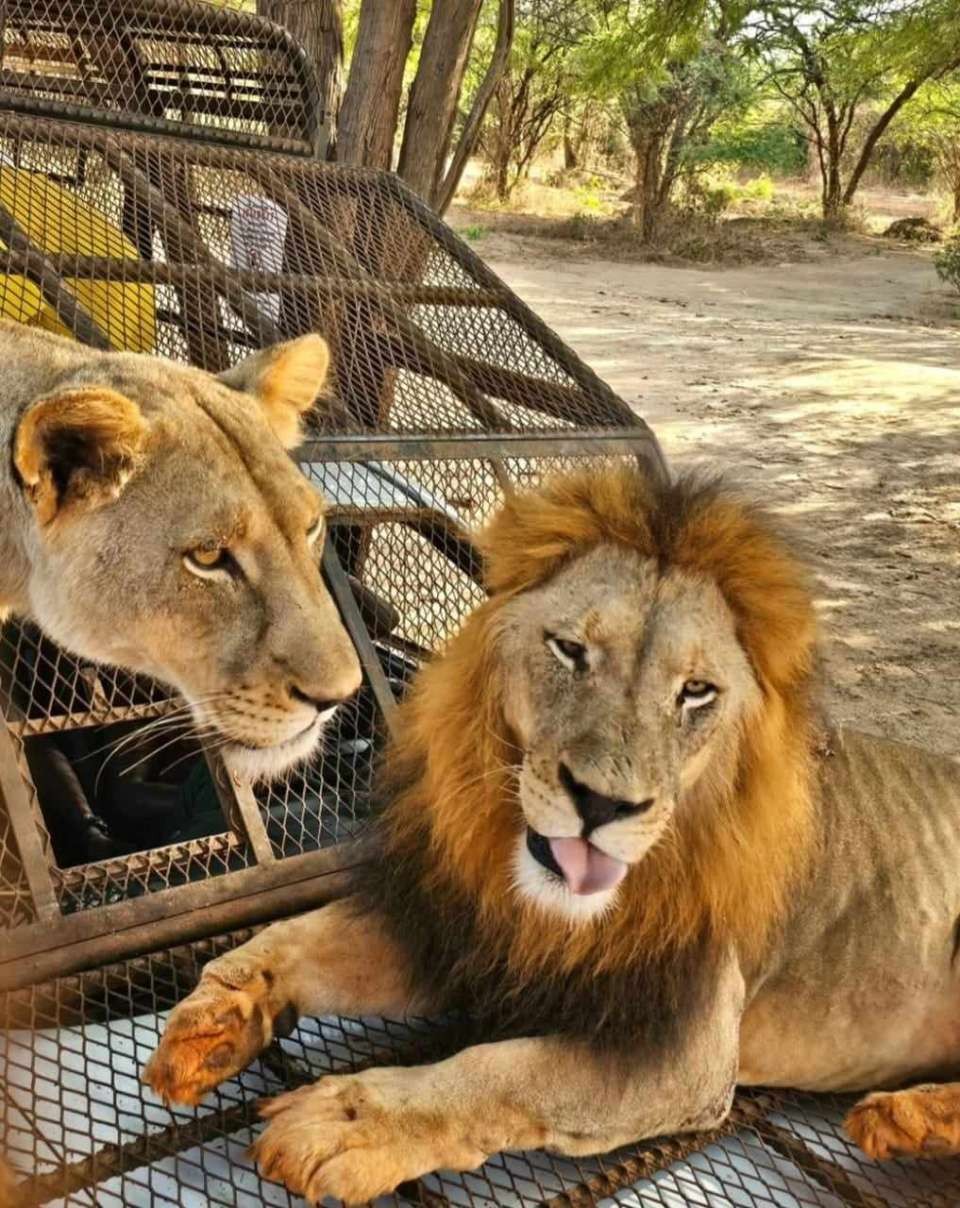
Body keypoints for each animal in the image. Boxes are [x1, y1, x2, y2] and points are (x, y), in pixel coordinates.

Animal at [145, 463, 960, 1204]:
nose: (602, 804)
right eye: (570, 650)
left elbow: (503, 1073)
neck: (549, 908)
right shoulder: (460, 932)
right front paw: (214, 1017)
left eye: (697, 693)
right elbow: (294, 936)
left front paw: (350, 1122)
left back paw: (903, 1119)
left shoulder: (681, 1051)